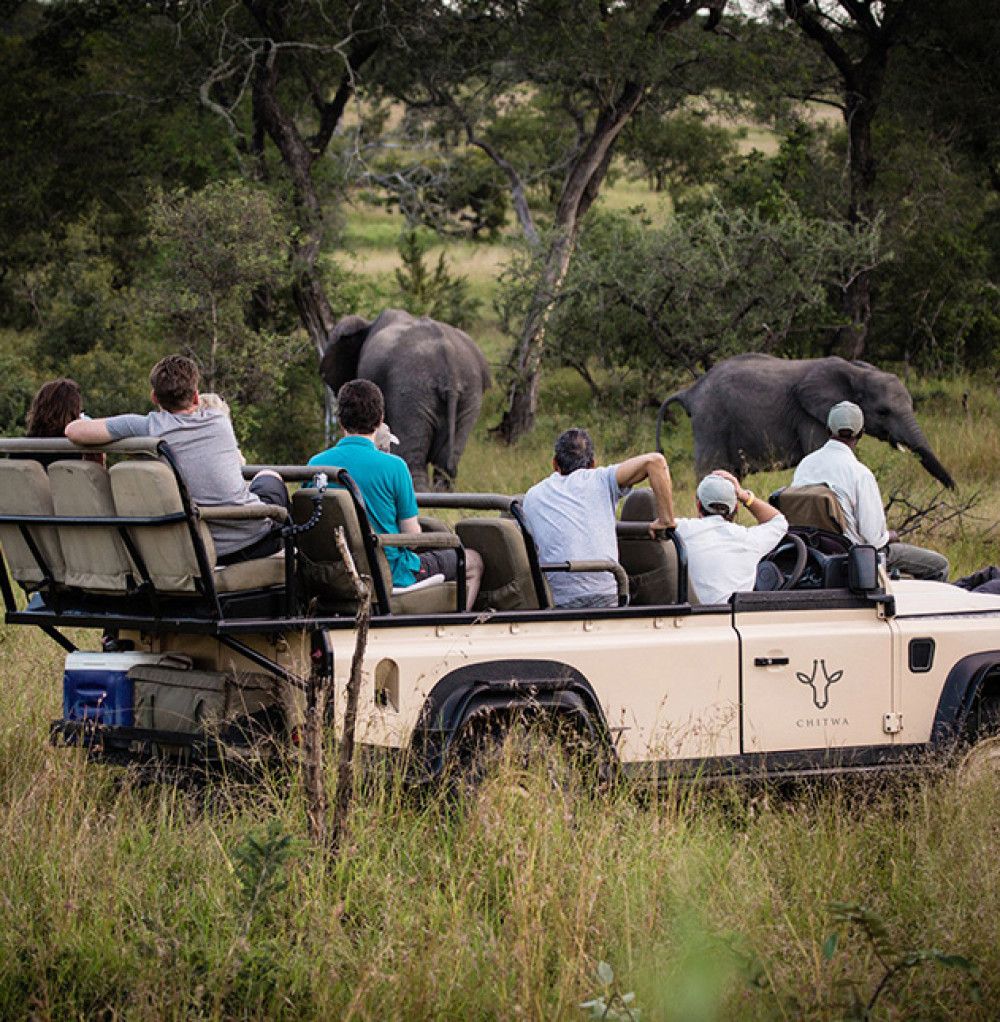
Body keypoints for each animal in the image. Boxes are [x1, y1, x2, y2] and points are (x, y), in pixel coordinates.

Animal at [320, 308, 492, 491]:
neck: (368, 324)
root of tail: (450, 366)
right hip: (470, 392)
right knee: (445, 466)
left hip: (410, 389)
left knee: (413, 460)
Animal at [656, 354, 955, 489]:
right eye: (883, 412)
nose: (954, 491)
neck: (855, 371)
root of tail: (691, 391)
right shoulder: (811, 415)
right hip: (711, 421)